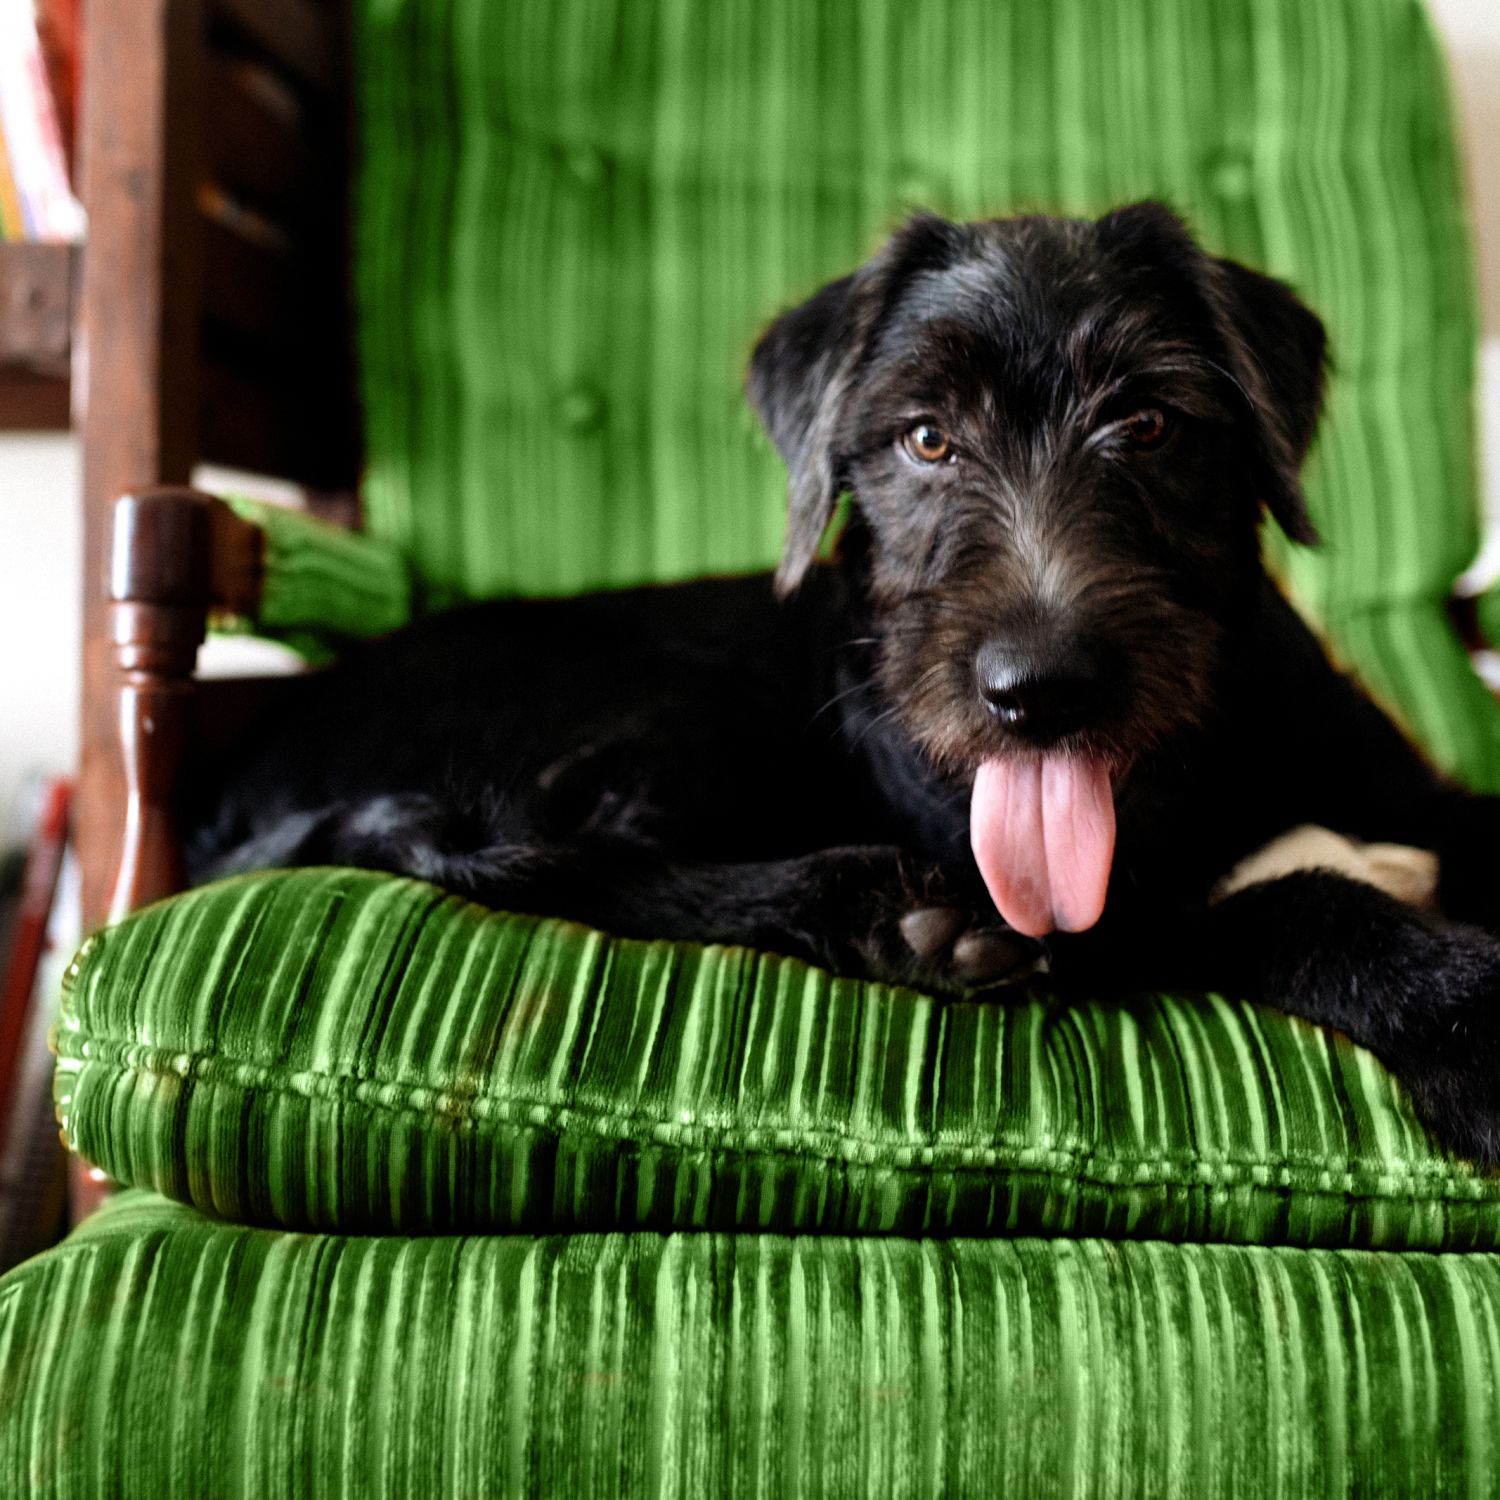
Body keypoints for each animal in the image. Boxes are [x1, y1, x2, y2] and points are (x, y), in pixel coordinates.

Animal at [190, 202, 1500, 1158]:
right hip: (673, 712)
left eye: (1149, 423)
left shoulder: (1410, 792)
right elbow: (1295, 900)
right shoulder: (1110, 921)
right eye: (925, 437)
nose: (1039, 690)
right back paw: (888, 914)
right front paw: (1465, 1013)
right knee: (580, 865)